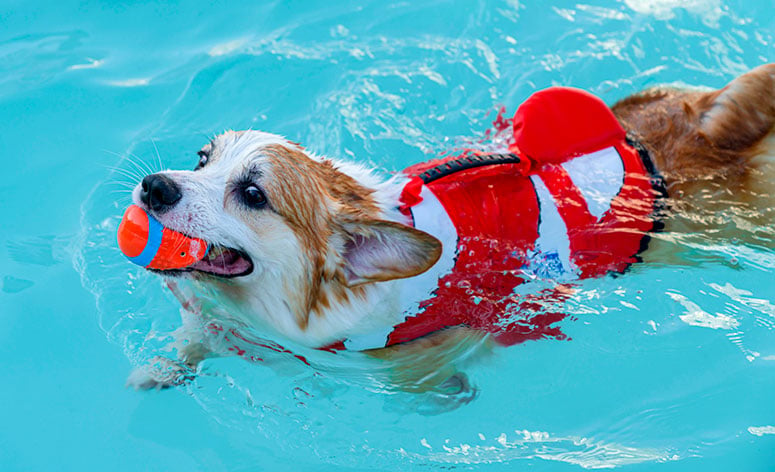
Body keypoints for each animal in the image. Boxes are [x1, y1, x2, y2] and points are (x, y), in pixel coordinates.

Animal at [126, 64, 775, 392]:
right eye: (202, 159)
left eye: (253, 195)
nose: (154, 187)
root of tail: (708, 121)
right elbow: (198, 338)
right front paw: (163, 369)